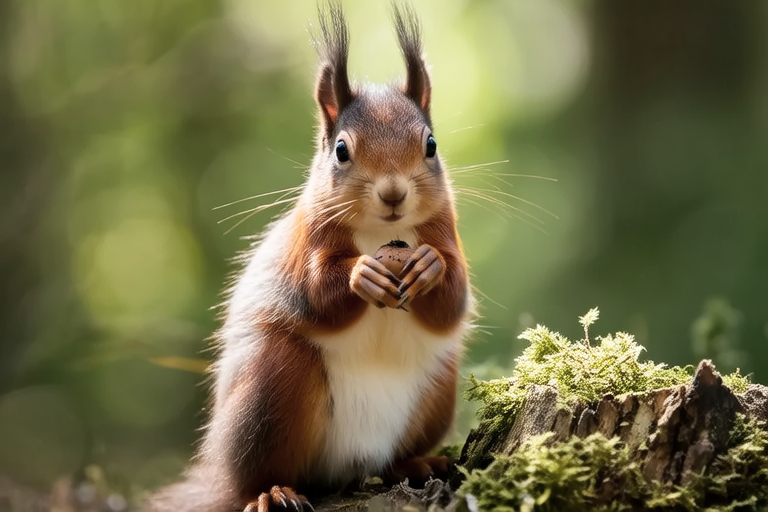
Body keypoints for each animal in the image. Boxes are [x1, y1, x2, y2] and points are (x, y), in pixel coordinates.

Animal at [148, 4, 473, 512]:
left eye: (431, 145)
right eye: (341, 150)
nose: (393, 193)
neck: (383, 233)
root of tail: (348, 465)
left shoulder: (445, 230)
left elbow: (452, 302)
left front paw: (430, 269)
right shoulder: (307, 240)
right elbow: (317, 294)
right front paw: (361, 274)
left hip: (438, 389)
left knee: (391, 459)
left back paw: (416, 464)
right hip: (272, 391)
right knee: (254, 479)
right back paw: (272, 493)